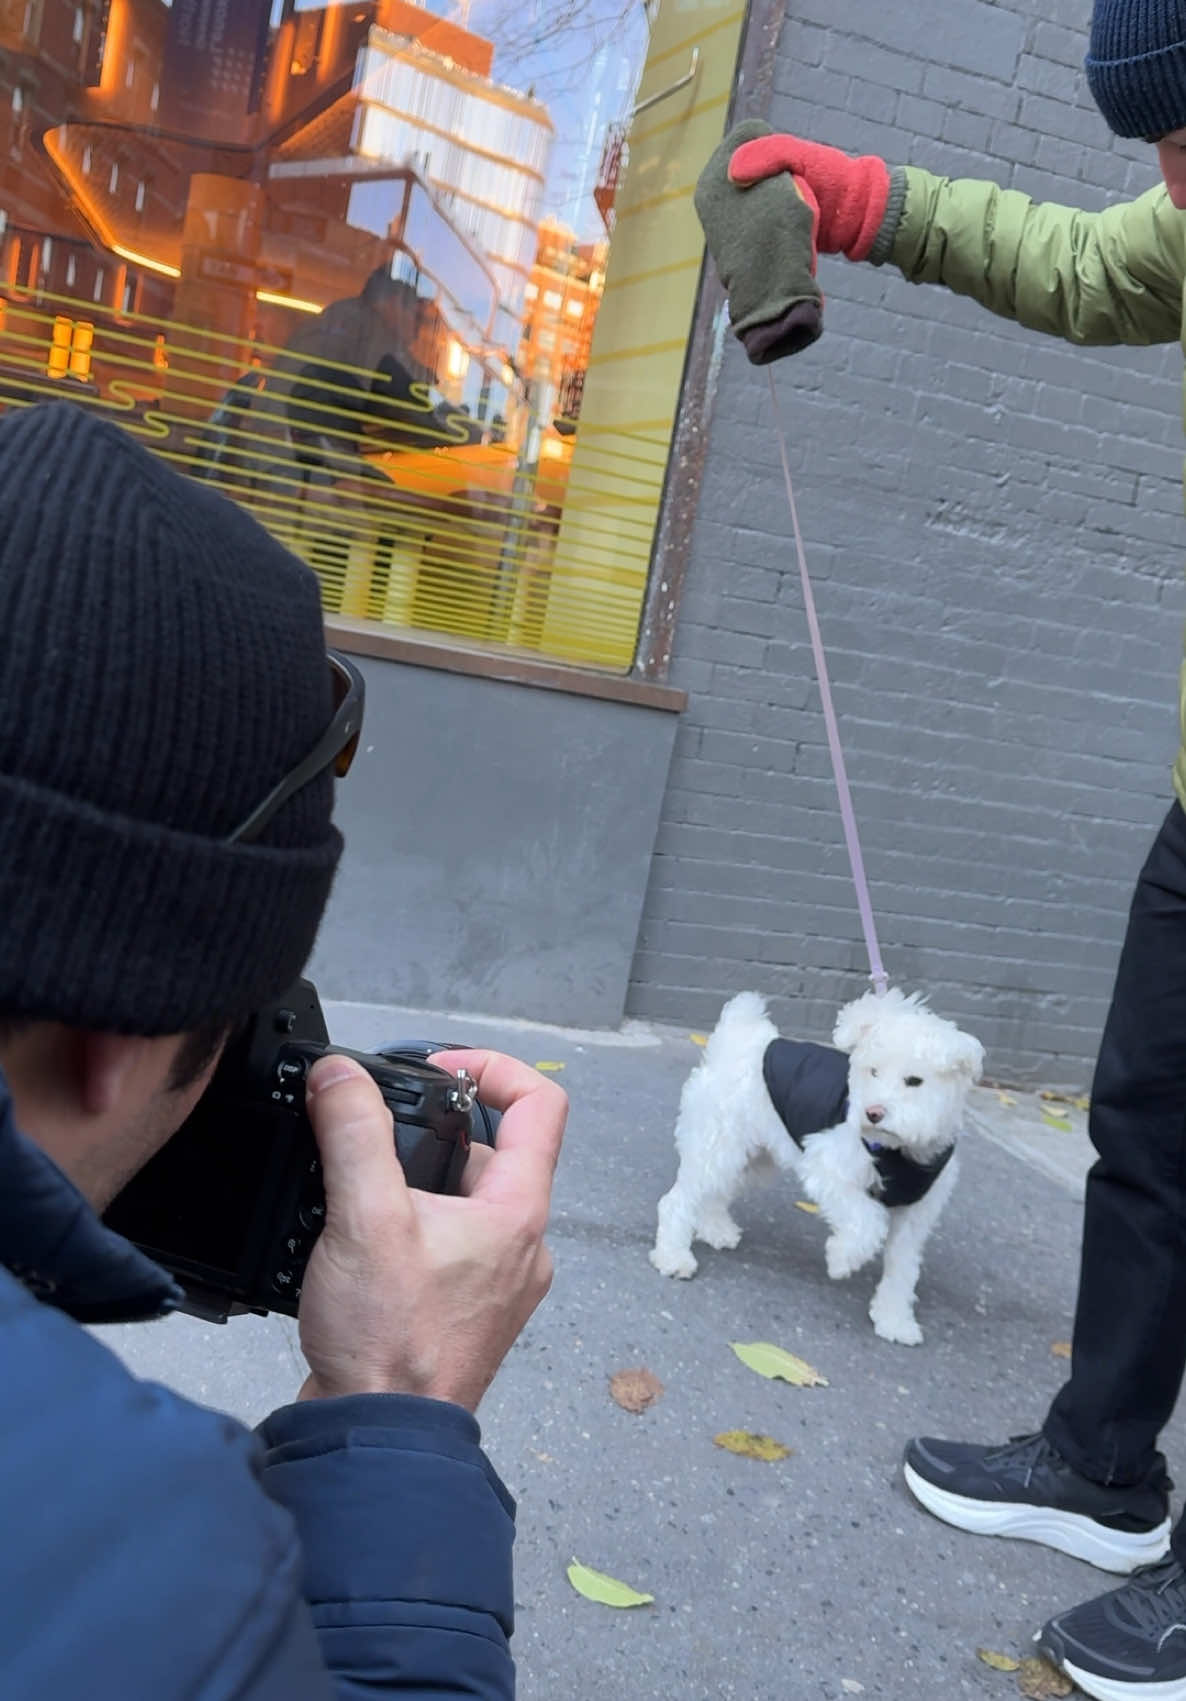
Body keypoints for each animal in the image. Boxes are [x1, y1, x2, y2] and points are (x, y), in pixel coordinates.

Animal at [646, 993, 980, 1347]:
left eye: (915, 1081)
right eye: (873, 1071)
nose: (873, 1113)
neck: (903, 1150)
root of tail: (743, 1033)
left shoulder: (916, 1215)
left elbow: (903, 1271)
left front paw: (894, 1320)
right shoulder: (827, 1166)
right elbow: (867, 1220)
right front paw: (842, 1257)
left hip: (753, 1157)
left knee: (714, 1193)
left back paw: (715, 1230)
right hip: (718, 1143)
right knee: (677, 1201)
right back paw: (673, 1257)